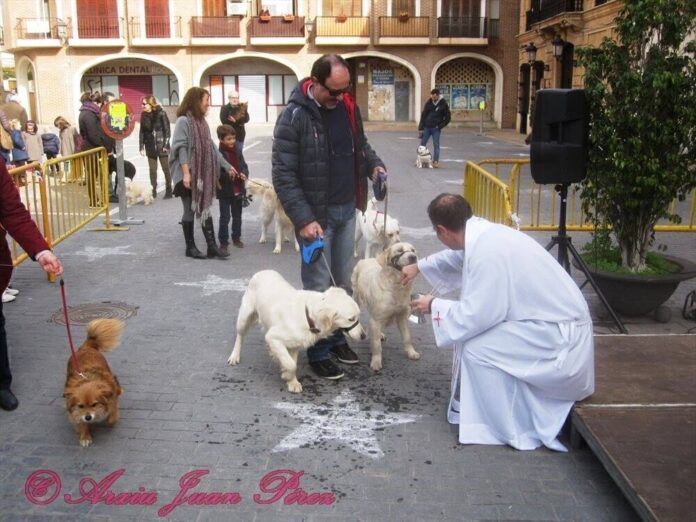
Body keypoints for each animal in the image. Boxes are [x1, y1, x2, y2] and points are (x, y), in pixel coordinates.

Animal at [64, 316, 123, 446]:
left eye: (94, 404)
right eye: (81, 406)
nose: (88, 417)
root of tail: (85, 348)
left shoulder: (112, 397)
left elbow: (112, 413)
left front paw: (110, 420)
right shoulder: (75, 411)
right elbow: (81, 423)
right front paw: (85, 436)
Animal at [227, 270, 364, 392]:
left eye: (358, 315)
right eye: (351, 319)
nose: (364, 336)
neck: (308, 316)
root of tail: (262, 271)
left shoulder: (294, 345)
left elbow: (292, 362)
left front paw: (292, 382)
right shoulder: (272, 337)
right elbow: (290, 364)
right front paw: (287, 375)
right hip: (244, 316)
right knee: (239, 336)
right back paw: (234, 356)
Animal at [354, 241, 418, 370]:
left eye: (413, 250)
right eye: (399, 250)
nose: (413, 257)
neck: (396, 287)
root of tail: (367, 259)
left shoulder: (402, 316)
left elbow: (407, 337)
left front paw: (411, 352)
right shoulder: (376, 319)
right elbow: (377, 345)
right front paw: (376, 361)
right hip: (356, 297)